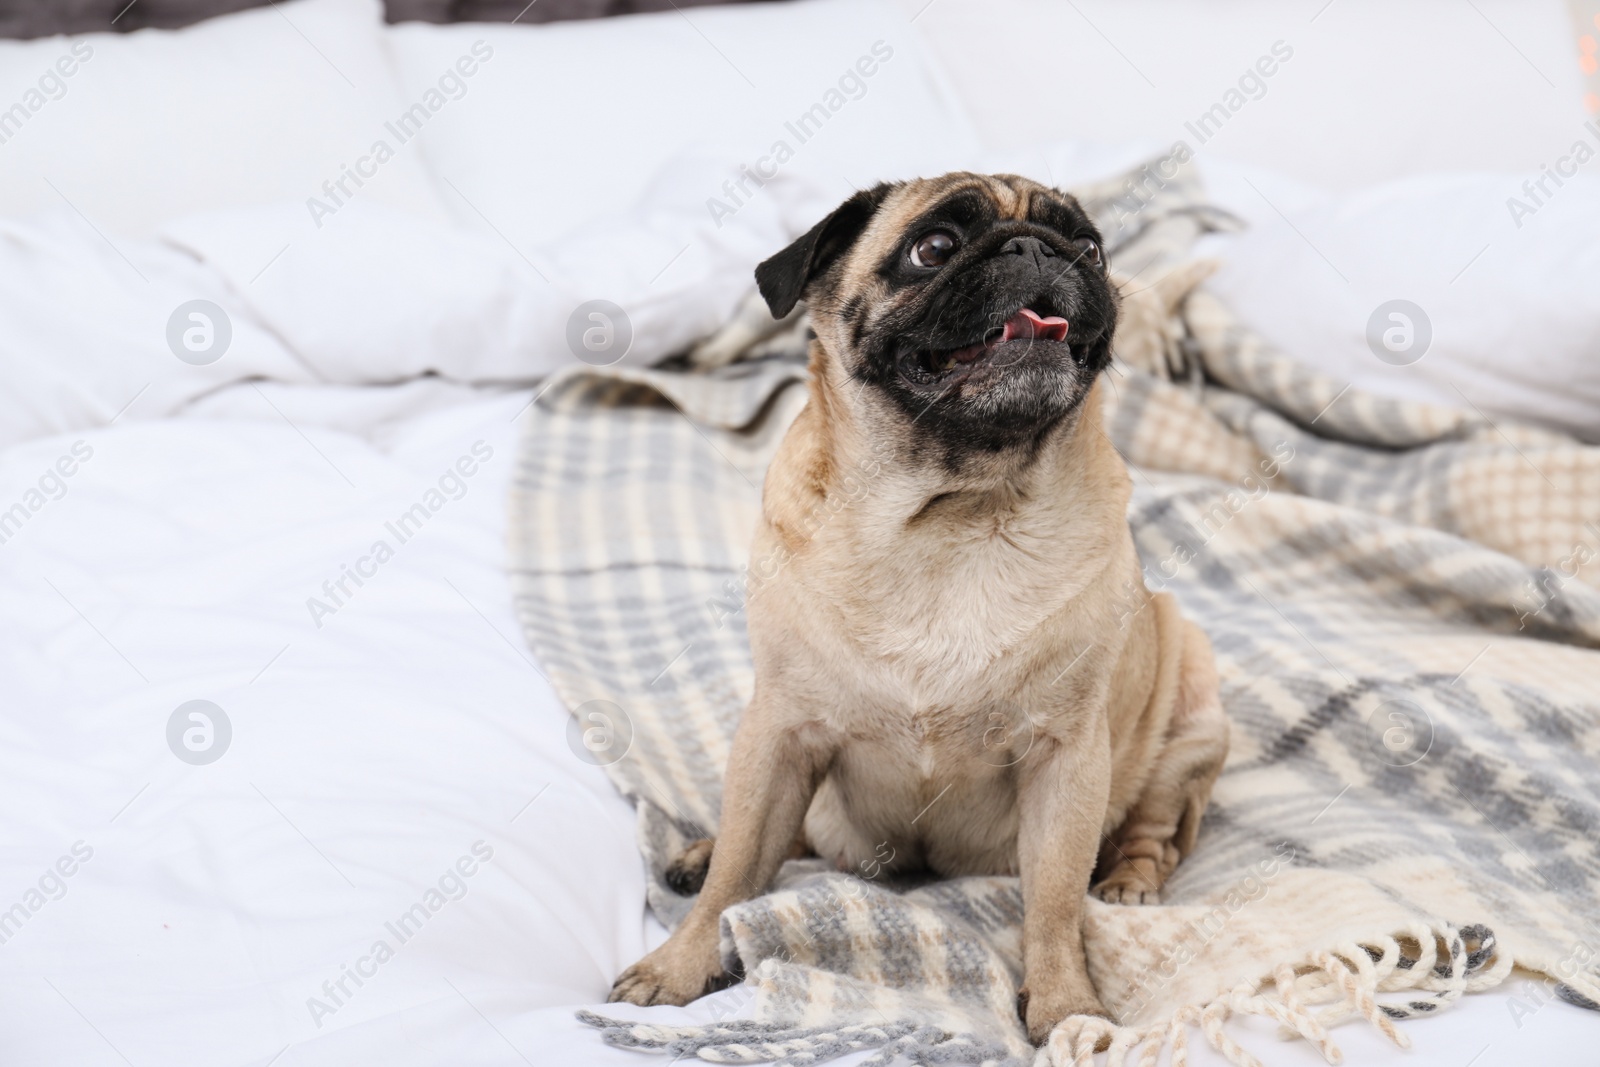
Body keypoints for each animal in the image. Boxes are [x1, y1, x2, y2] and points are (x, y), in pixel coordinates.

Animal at [608, 173, 1222, 1043]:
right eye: (933, 248)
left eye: (1092, 248)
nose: (1038, 247)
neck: (953, 510)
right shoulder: (780, 730)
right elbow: (736, 874)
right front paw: (680, 962)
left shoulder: (1066, 755)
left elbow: (1056, 899)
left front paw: (1066, 1005)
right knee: (776, 838)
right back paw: (700, 849)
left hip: (1193, 699)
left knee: (1152, 825)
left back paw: (1130, 880)